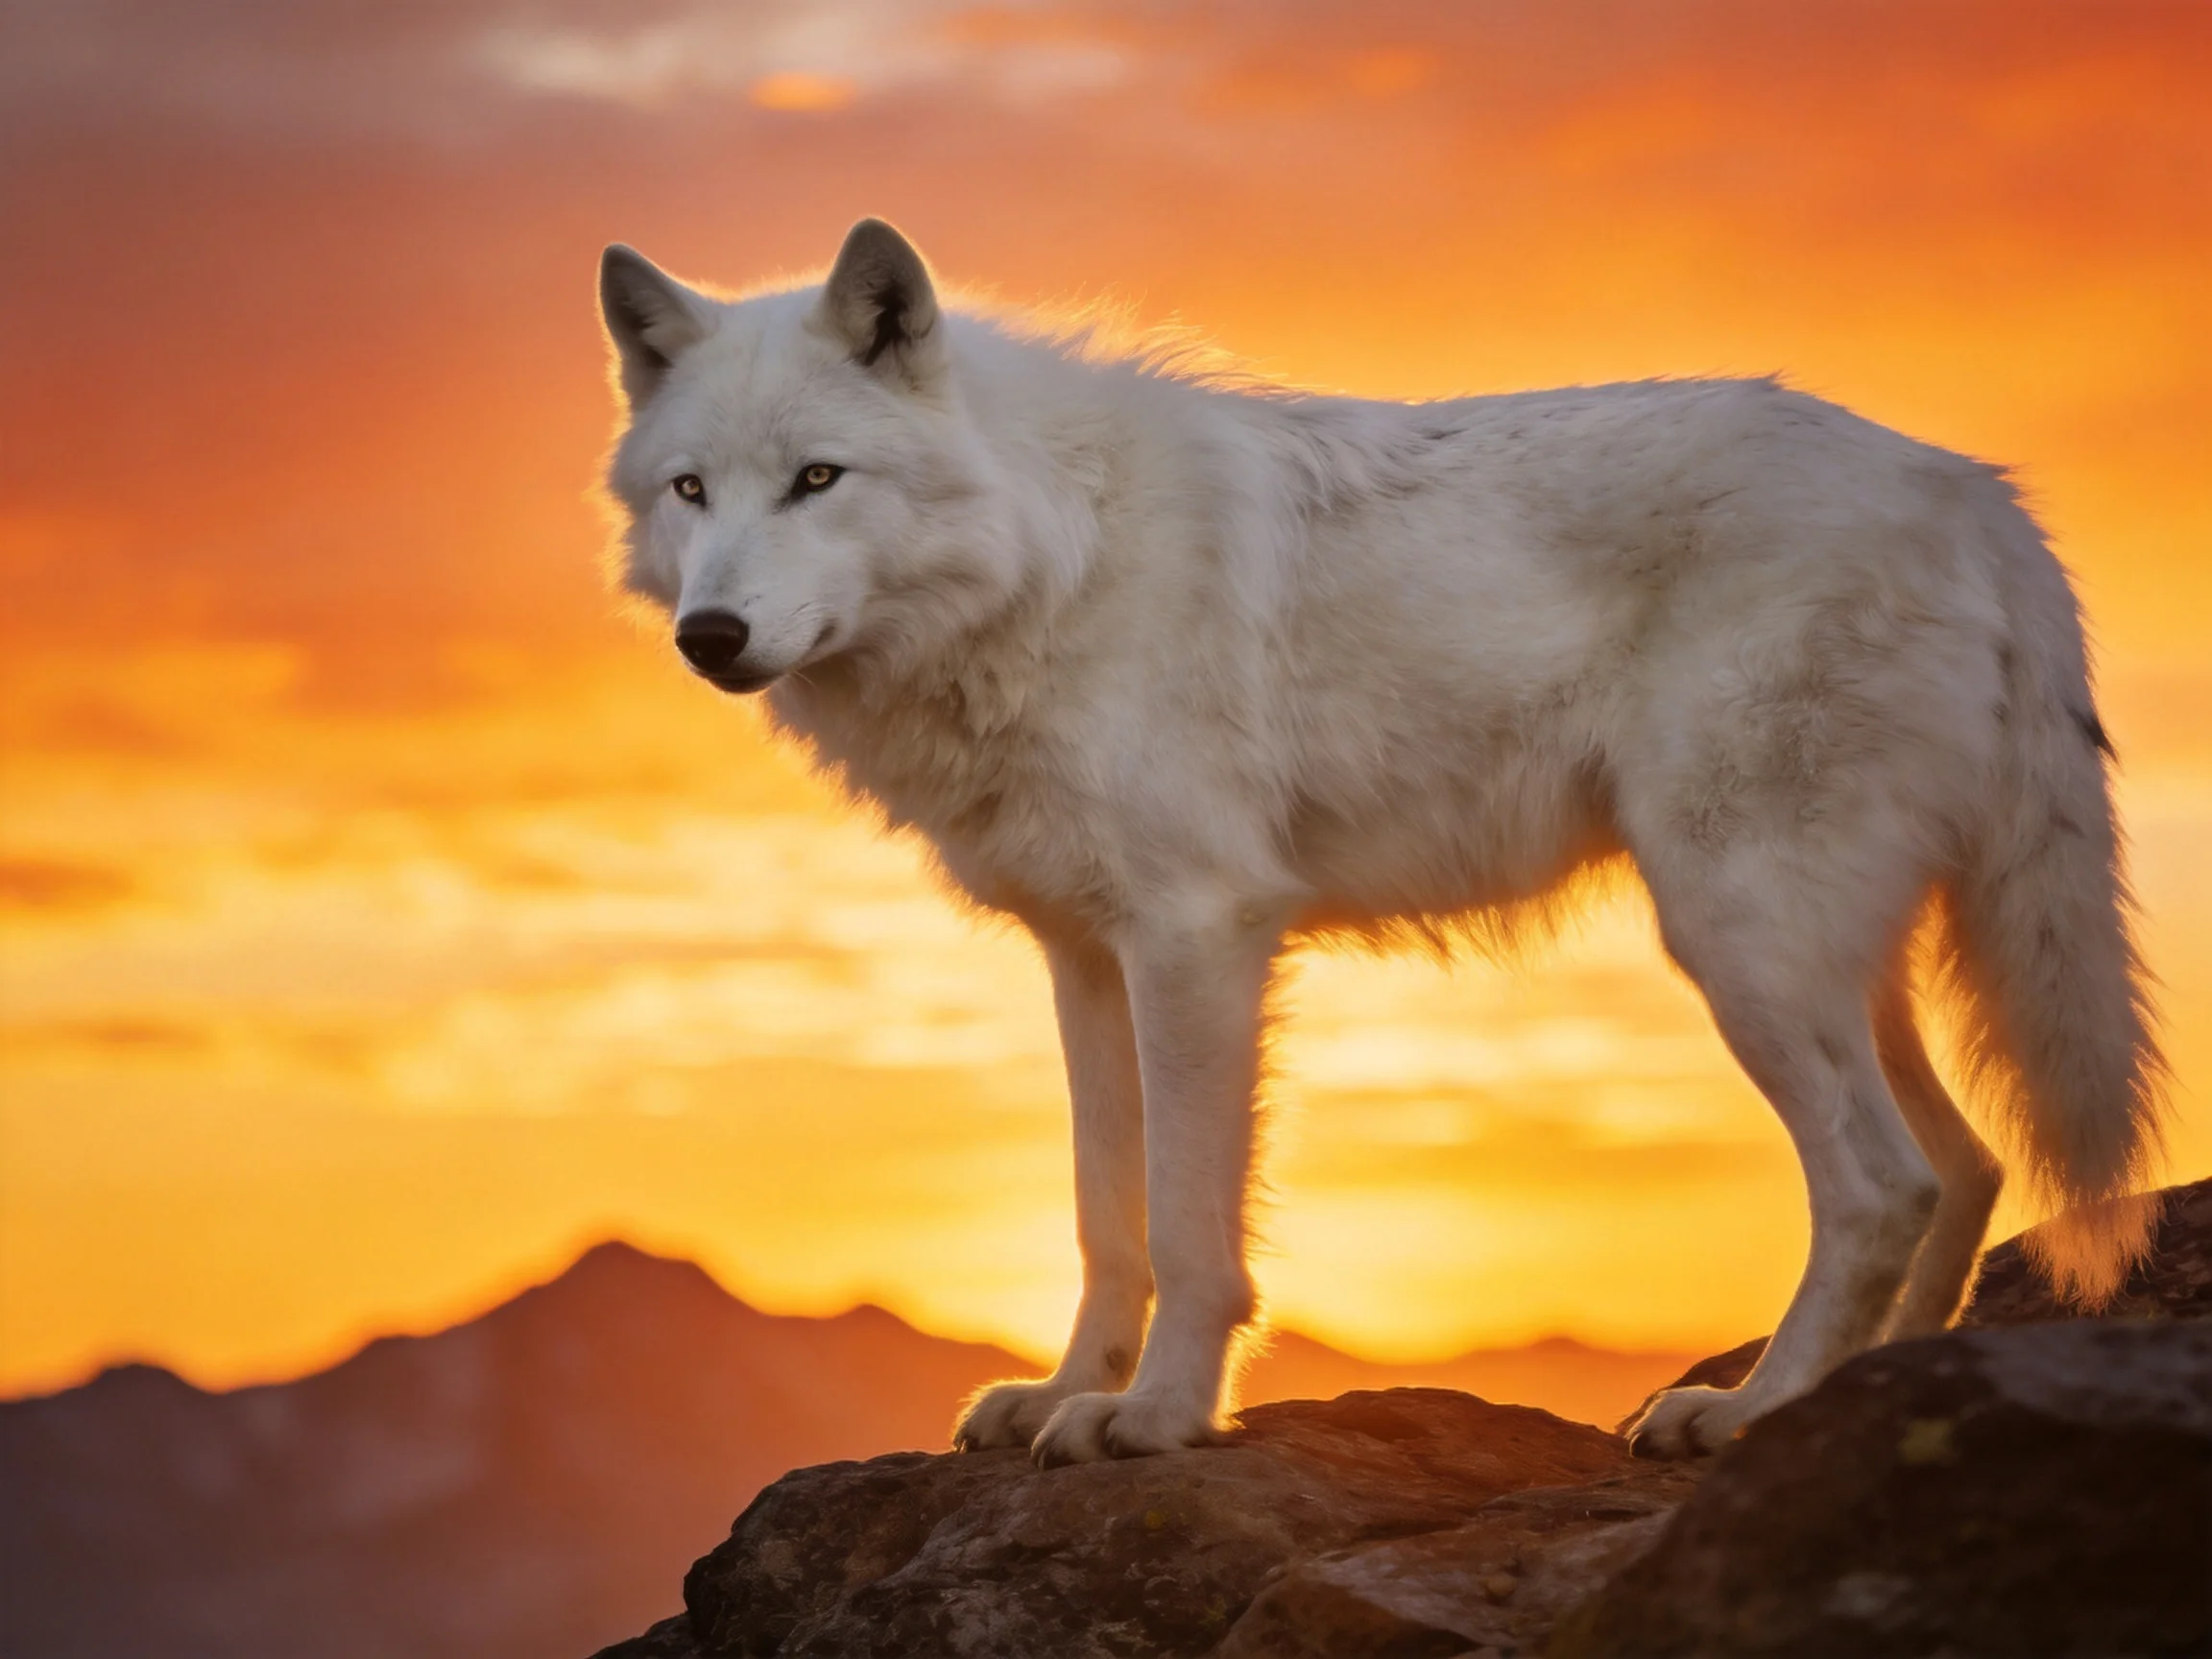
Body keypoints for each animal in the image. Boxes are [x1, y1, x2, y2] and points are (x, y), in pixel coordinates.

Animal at [595, 218, 2165, 1462]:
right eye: (692, 490)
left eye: (818, 478)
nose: (709, 637)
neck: (1054, 559)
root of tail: (1976, 489)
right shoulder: (1085, 958)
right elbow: (1105, 1215)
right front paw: (1060, 1396)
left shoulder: (1199, 940)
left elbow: (1189, 1226)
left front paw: (1154, 1421)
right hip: (1828, 959)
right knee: (1969, 1168)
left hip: (1740, 943)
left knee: (1886, 1187)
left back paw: (1748, 1417)